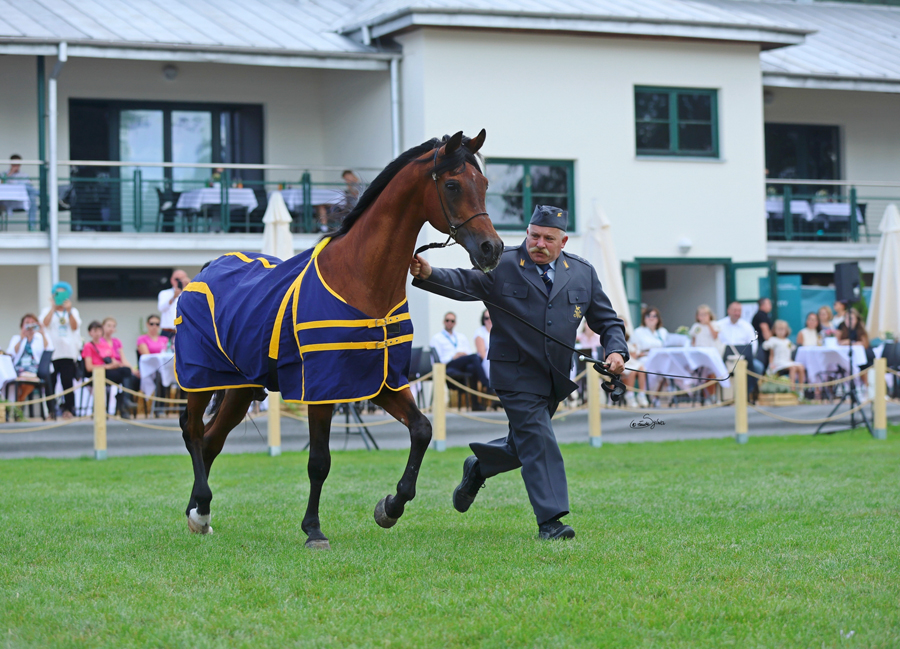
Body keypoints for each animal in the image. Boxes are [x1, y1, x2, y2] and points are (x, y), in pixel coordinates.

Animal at [172, 130, 502, 548]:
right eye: (453, 185)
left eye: (485, 184)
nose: (492, 248)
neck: (360, 280)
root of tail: (206, 268)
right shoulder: (323, 386)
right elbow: (319, 461)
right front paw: (313, 529)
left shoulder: (380, 380)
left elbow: (422, 430)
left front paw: (391, 506)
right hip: (199, 378)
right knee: (194, 431)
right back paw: (200, 506)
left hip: (240, 387)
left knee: (212, 440)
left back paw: (198, 512)